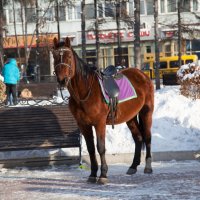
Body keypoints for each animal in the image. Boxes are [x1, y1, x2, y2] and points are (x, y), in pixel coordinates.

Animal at [52, 37, 154, 184]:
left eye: (69, 56)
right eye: (54, 56)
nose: (62, 80)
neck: (84, 92)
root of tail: (143, 75)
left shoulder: (99, 123)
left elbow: (100, 147)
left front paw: (103, 174)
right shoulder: (83, 125)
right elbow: (90, 149)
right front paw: (93, 174)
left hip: (146, 112)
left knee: (147, 136)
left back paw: (148, 167)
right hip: (130, 117)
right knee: (138, 137)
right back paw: (133, 166)